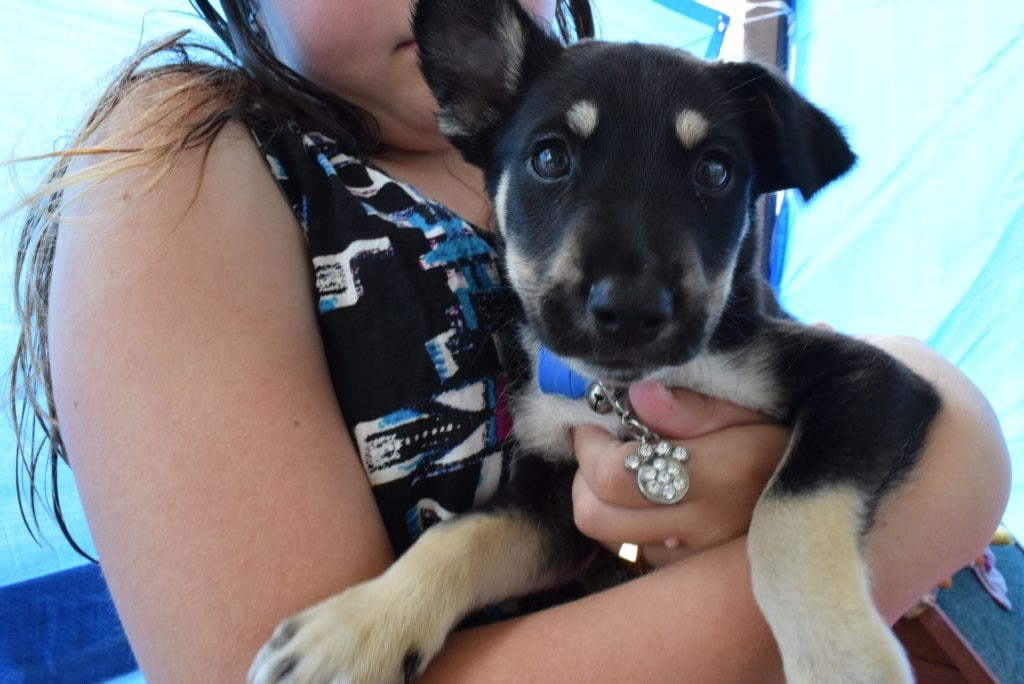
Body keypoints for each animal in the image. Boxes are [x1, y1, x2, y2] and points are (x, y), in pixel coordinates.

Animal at [247, 1, 937, 684]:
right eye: (550, 158)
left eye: (715, 171)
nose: (629, 311)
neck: (624, 390)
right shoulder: (560, 493)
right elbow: (462, 535)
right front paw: (357, 629)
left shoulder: (869, 380)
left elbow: (784, 516)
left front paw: (844, 658)